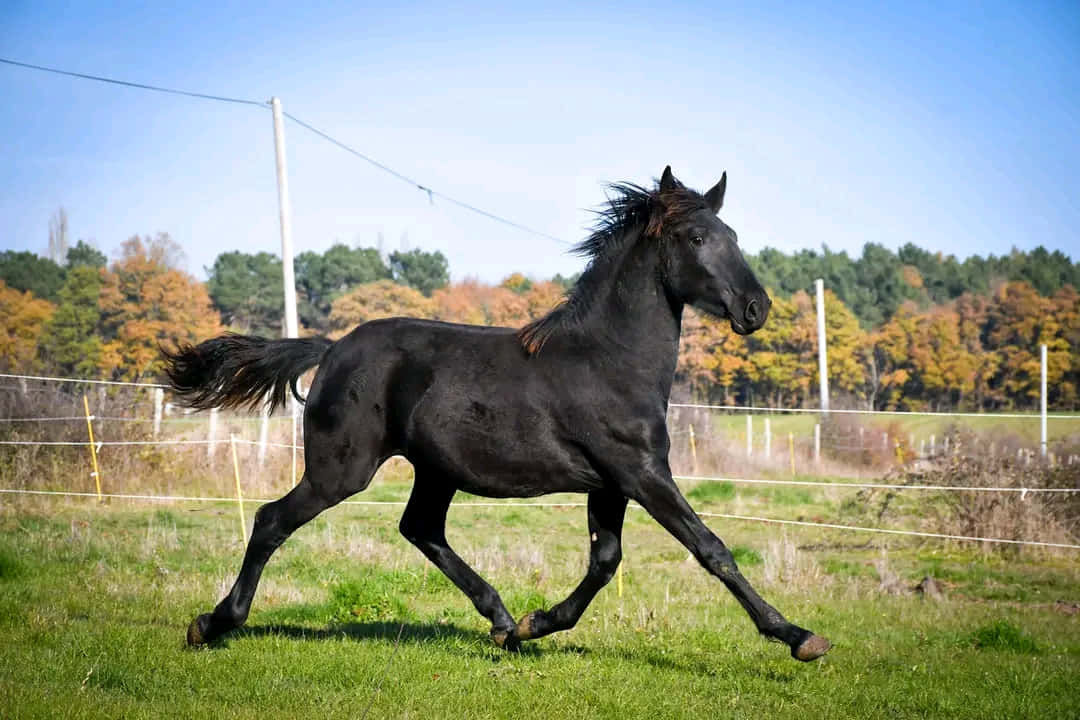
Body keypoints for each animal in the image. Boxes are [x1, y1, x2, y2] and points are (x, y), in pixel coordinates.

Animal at [164, 166, 831, 662]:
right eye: (695, 239)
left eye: (733, 235)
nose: (756, 309)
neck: (607, 359)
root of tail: (330, 349)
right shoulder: (641, 474)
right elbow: (711, 549)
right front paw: (799, 637)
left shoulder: (611, 482)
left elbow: (605, 562)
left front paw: (536, 624)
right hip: (341, 469)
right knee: (272, 520)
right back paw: (212, 623)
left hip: (435, 471)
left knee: (421, 529)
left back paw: (503, 619)